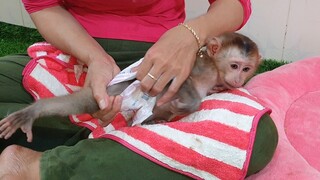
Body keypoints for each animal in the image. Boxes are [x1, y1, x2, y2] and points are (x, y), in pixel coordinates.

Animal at [0, 32, 260, 142]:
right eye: (235, 66)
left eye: (247, 69)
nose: (239, 80)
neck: (214, 69)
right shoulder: (196, 66)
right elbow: (178, 82)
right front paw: (185, 103)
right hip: (112, 94)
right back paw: (33, 112)